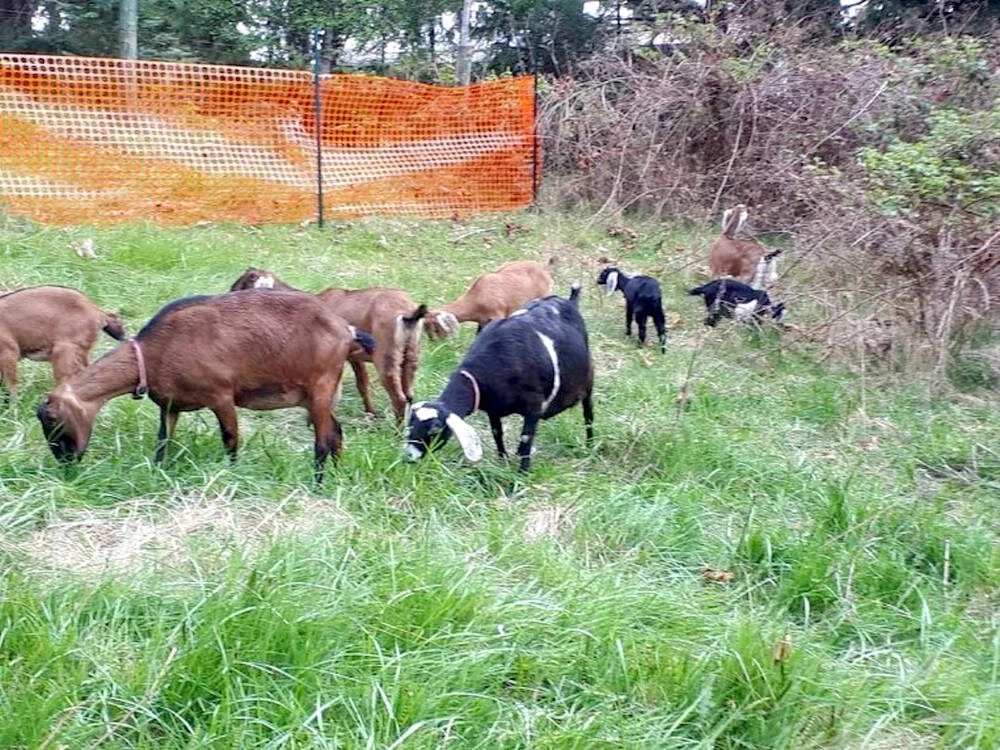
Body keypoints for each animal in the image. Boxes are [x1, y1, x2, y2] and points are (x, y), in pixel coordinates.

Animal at [36, 290, 356, 484]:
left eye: (52, 418)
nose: (66, 463)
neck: (156, 352)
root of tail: (344, 329)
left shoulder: (221, 395)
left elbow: (230, 439)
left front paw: (232, 475)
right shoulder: (170, 405)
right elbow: (163, 441)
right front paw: (157, 473)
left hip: (320, 385)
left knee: (322, 441)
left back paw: (317, 483)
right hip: (314, 396)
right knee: (335, 432)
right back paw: (339, 476)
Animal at [229, 268, 426, 424]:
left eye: (240, 285)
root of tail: (408, 313)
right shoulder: (354, 357)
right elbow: (362, 383)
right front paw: (371, 413)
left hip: (386, 357)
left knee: (399, 399)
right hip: (411, 355)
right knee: (409, 395)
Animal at [406, 284, 592, 472]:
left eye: (435, 429)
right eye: (410, 424)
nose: (410, 456)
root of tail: (569, 301)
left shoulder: (534, 404)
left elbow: (526, 438)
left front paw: (522, 474)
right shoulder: (493, 407)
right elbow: (497, 432)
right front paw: (503, 461)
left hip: (588, 381)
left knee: (588, 414)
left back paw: (590, 446)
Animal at [426, 260, 560, 340]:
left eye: (436, 328)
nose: (435, 344)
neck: (476, 297)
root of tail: (544, 269)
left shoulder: (497, 315)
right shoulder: (482, 321)